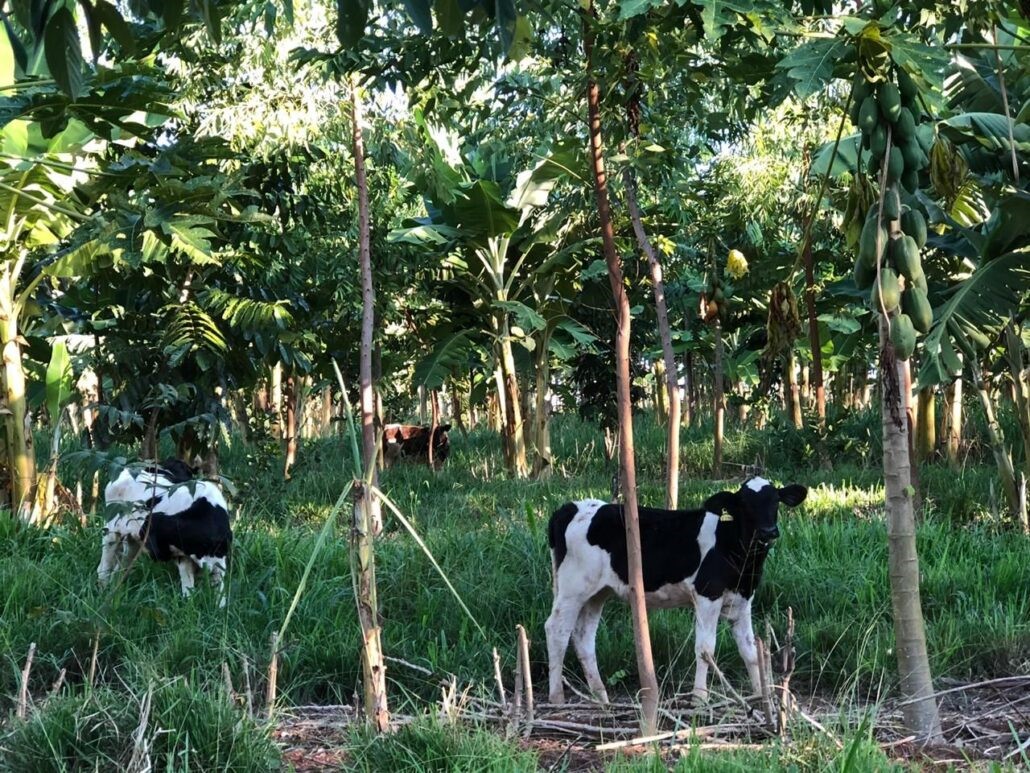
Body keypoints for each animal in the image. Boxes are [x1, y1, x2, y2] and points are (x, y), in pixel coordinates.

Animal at [97, 459, 232, 606]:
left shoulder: (216, 560)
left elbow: (214, 590)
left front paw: (217, 608)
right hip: (111, 531)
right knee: (104, 567)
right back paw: (103, 591)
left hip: (133, 542)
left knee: (121, 567)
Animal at [543, 476, 807, 704]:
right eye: (744, 504)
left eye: (776, 500)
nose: (768, 531)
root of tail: (571, 507)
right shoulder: (707, 595)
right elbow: (705, 649)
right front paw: (700, 698)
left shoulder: (743, 600)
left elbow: (750, 651)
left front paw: (761, 697)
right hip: (572, 588)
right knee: (557, 630)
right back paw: (557, 697)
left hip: (597, 593)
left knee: (584, 637)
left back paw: (601, 697)